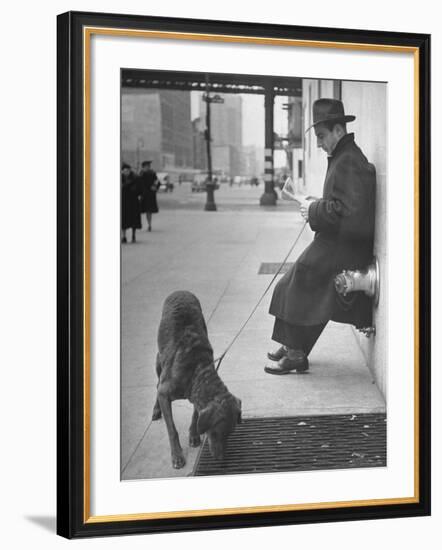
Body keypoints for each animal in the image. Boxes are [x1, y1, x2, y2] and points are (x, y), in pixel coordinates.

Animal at [152, 294, 242, 470]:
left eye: (230, 434)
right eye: (215, 433)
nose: (221, 460)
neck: (196, 370)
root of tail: (180, 291)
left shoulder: (197, 395)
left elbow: (195, 415)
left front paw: (193, 434)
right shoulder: (165, 393)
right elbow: (172, 430)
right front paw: (177, 456)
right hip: (159, 360)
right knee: (157, 384)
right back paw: (156, 409)